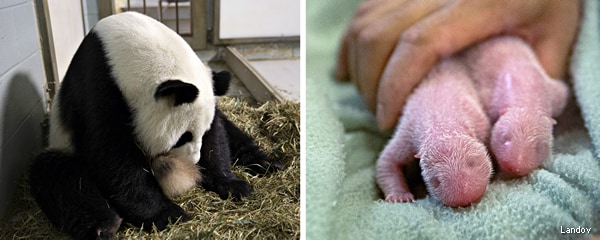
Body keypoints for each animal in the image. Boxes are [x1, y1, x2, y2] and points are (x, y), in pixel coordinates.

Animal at [27, 12, 282, 239]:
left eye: (200, 133)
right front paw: (167, 214)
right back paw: (105, 225)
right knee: (61, 177)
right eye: (183, 137)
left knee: (234, 134)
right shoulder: (98, 86)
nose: (193, 162)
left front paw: (230, 184)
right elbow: (112, 155)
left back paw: (267, 163)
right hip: (61, 144)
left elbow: (218, 135)